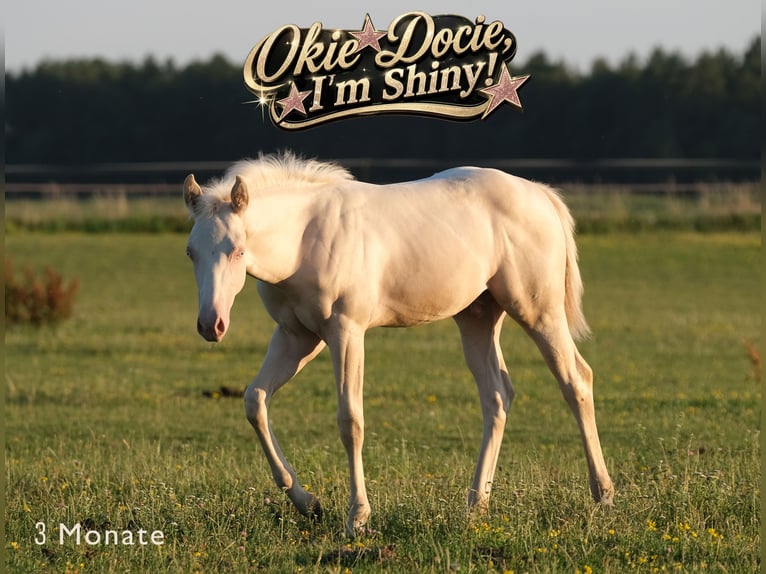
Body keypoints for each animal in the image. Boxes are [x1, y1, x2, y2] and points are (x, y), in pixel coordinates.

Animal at [183, 152, 614, 536]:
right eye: (191, 252)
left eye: (238, 249)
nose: (210, 324)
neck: (305, 237)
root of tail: (540, 194)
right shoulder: (296, 337)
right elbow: (255, 401)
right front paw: (307, 502)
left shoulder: (346, 333)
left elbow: (350, 421)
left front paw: (357, 517)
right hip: (477, 318)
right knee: (496, 397)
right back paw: (476, 505)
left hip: (538, 312)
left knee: (576, 381)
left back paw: (603, 494)